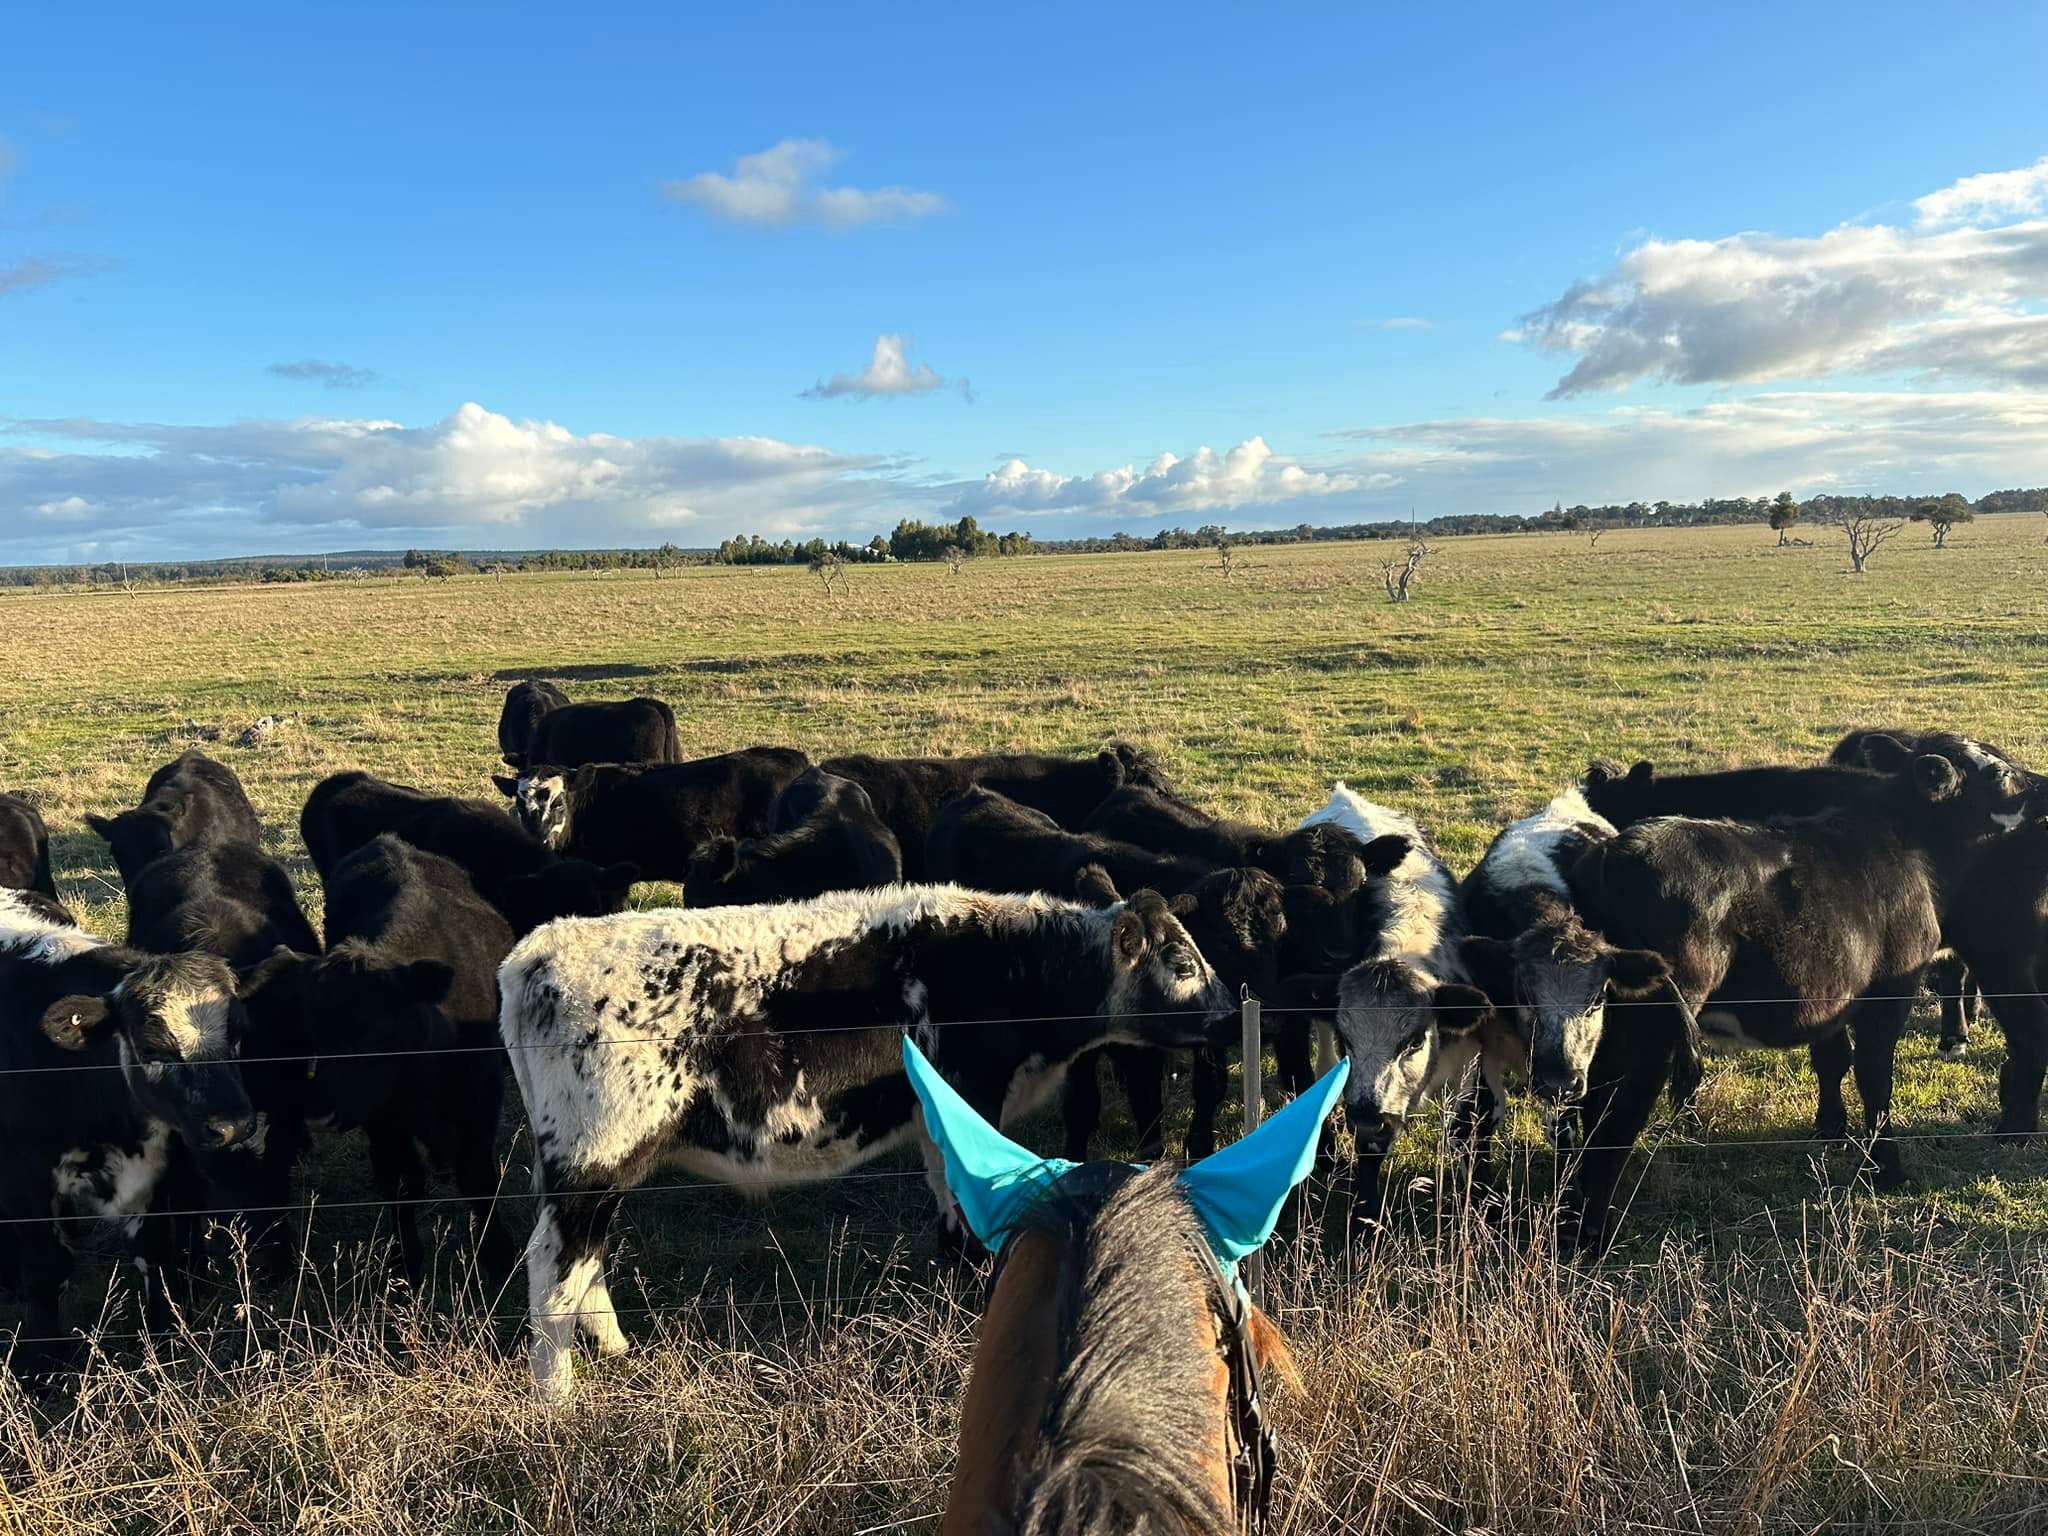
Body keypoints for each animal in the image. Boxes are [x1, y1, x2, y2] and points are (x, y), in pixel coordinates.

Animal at [0, 892, 255, 1375]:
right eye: (153, 1049)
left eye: (237, 1033)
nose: (233, 1126)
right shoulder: (24, 1177)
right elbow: (46, 1268)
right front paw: (43, 1364)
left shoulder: (156, 1170)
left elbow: (153, 1252)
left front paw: (164, 1335)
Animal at [234, 836, 518, 1281]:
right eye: (314, 1034)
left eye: (380, 1034)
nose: (321, 1112)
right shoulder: (382, 1120)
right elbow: (400, 1182)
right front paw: (406, 1264)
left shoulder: (479, 1099)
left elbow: (477, 1177)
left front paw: (499, 1258)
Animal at [498, 883, 1236, 1399]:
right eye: (1180, 960)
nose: (1232, 1011)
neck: (1014, 969)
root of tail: (540, 952)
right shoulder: (973, 1101)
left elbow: (951, 1211)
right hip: (593, 1160)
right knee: (554, 1268)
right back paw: (556, 1398)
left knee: (582, 1258)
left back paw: (613, 1347)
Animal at [1561, 738, 2031, 1255]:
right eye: (1995, 772)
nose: (2035, 787)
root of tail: (1615, 852)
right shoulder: (1887, 997)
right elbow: (1874, 1079)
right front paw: (1887, 1170)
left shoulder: (1831, 999)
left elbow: (1833, 1060)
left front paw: (1832, 1132)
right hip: (1654, 1027)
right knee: (1616, 1116)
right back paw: (1592, 1236)